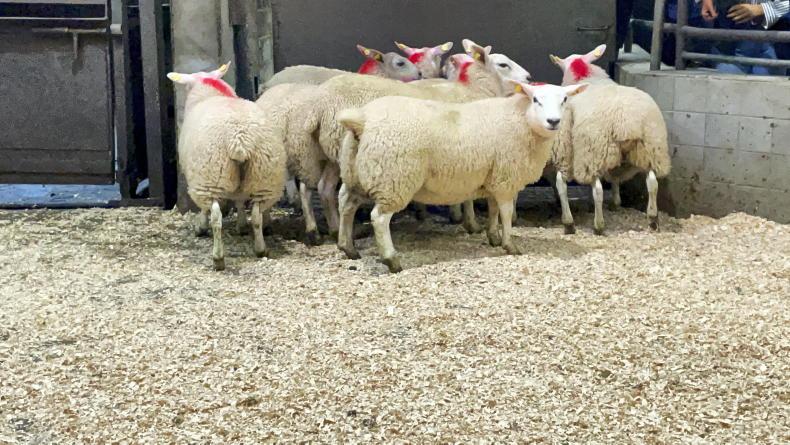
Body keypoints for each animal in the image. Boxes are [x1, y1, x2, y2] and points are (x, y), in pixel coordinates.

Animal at [168, 63, 287, 270]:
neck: (209, 90)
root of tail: (239, 138)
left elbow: (206, 210)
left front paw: (200, 227)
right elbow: (239, 201)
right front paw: (241, 225)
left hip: (210, 177)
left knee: (216, 217)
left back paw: (218, 258)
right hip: (262, 176)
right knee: (257, 215)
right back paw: (260, 249)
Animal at [336, 82, 587, 273]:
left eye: (565, 99)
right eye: (536, 100)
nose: (553, 121)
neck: (522, 120)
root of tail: (362, 119)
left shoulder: (493, 177)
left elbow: (493, 210)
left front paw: (493, 237)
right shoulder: (505, 178)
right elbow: (505, 213)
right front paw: (509, 245)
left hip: (355, 174)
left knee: (345, 204)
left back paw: (348, 248)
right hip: (394, 178)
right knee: (378, 218)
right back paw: (391, 260)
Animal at [547, 44, 671, 235]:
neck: (587, 76)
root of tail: (626, 120)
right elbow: (614, 178)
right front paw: (616, 201)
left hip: (594, 151)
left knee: (598, 190)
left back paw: (598, 225)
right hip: (650, 148)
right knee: (652, 182)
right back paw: (652, 219)